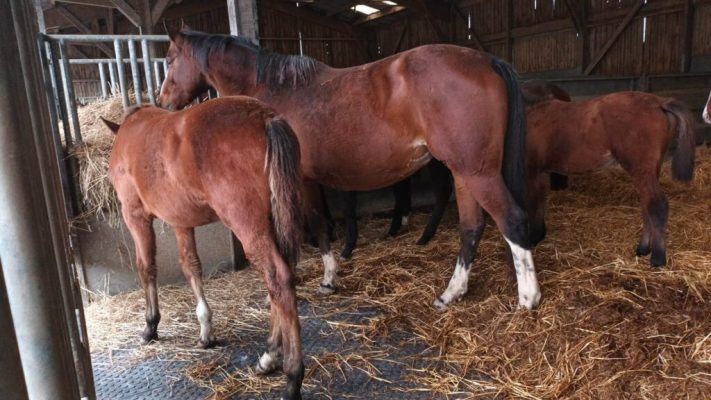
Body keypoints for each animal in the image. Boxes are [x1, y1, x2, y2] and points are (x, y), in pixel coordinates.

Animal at [102, 97, 306, 400]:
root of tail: (264, 116)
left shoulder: (134, 214)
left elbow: (146, 266)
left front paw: (151, 325)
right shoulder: (181, 221)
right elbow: (191, 266)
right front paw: (205, 329)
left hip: (248, 225)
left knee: (278, 278)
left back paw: (291, 377)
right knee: (282, 281)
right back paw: (269, 356)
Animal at [159, 28, 544, 310]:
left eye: (169, 59)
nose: (163, 101)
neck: (271, 91)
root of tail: (486, 60)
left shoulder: (298, 182)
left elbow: (310, 225)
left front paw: (324, 279)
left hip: (478, 173)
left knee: (511, 220)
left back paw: (528, 298)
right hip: (464, 172)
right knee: (471, 228)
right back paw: (451, 293)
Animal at [528, 90, 696, 266]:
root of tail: (659, 102)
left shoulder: (530, 171)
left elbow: (533, 203)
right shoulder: (539, 172)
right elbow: (540, 201)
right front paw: (539, 235)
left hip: (641, 169)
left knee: (657, 205)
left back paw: (657, 257)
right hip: (651, 170)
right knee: (647, 205)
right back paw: (643, 249)